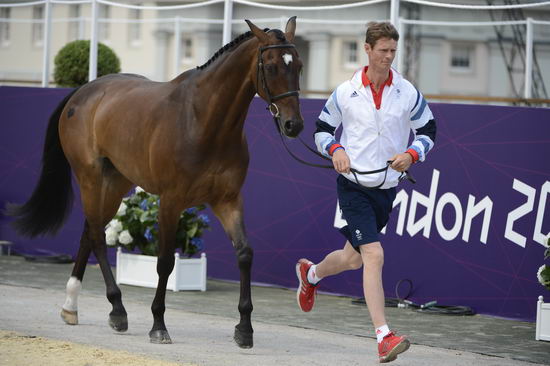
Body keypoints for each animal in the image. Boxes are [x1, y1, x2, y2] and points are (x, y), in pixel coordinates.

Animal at [6, 17, 304, 348]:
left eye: (299, 65)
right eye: (272, 66)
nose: (293, 125)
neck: (202, 121)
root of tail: (84, 91)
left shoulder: (228, 200)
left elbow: (245, 254)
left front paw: (244, 328)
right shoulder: (171, 202)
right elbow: (164, 262)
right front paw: (158, 325)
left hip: (115, 184)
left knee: (89, 232)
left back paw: (73, 306)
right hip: (90, 178)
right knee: (97, 236)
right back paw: (117, 309)